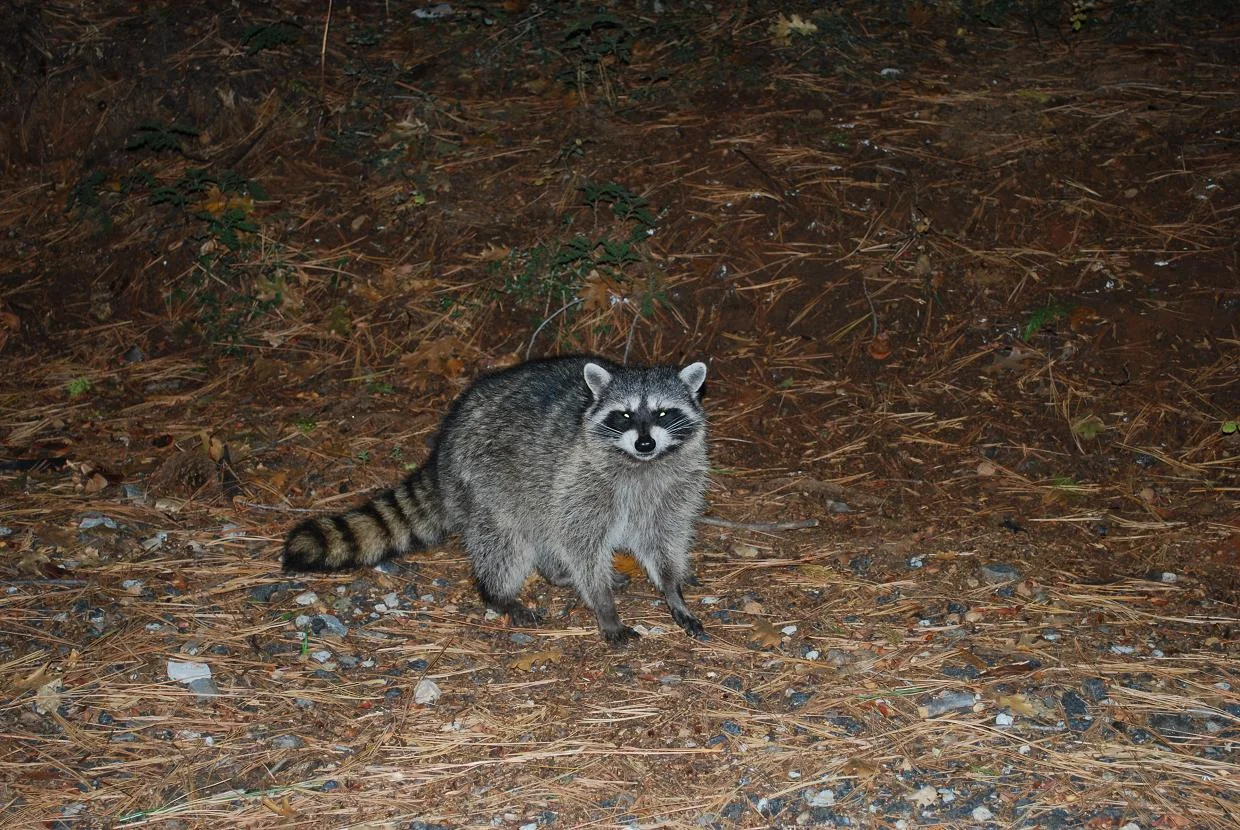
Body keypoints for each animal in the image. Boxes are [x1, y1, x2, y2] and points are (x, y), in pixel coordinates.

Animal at [282, 356, 710, 645]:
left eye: (663, 413)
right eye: (624, 415)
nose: (645, 443)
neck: (641, 464)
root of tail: (445, 442)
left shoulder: (673, 490)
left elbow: (662, 539)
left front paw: (673, 590)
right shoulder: (582, 477)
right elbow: (580, 543)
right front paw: (603, 604)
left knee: (542, 526)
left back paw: (552, 571)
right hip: (486, 478)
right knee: (505, 539)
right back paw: (500, 593)